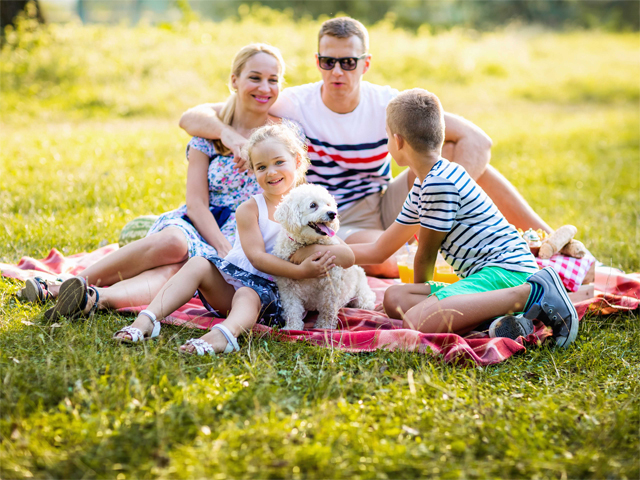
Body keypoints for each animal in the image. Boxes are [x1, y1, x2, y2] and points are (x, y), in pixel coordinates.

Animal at [274, 184, 376, 330]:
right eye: (313, 205)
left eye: (328, 205)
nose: (332, 213)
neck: (307, 244)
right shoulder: (287, 286)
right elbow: (292, 308)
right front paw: (292, 328)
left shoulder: (331, 283)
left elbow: (328, 307)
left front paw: (324, 326)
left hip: (360, 287)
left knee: (366, 298)